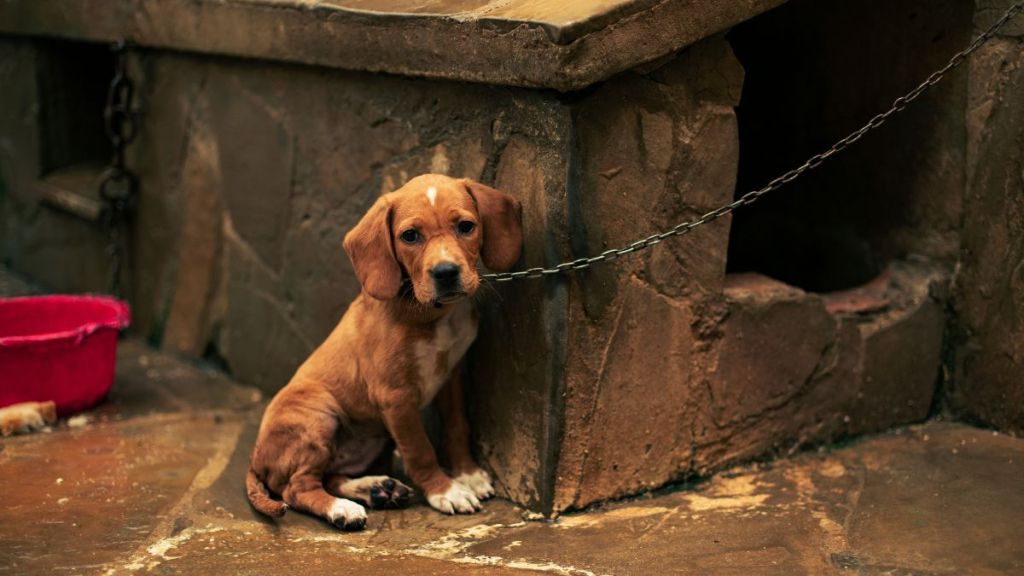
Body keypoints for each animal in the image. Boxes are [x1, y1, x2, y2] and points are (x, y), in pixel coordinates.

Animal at [245, 172, 520, 528]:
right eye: (410, 236)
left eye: (466, 227)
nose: (446, 273)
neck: (429, 313)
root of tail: (256, 457)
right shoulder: (396, 397)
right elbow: (420, 449)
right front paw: (446, 491)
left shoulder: (451, 377)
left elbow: (457, 426)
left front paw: (467, 473)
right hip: (318, 414)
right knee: (298, 487)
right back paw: (342, 508)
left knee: (331, 475)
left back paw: (377, 489)